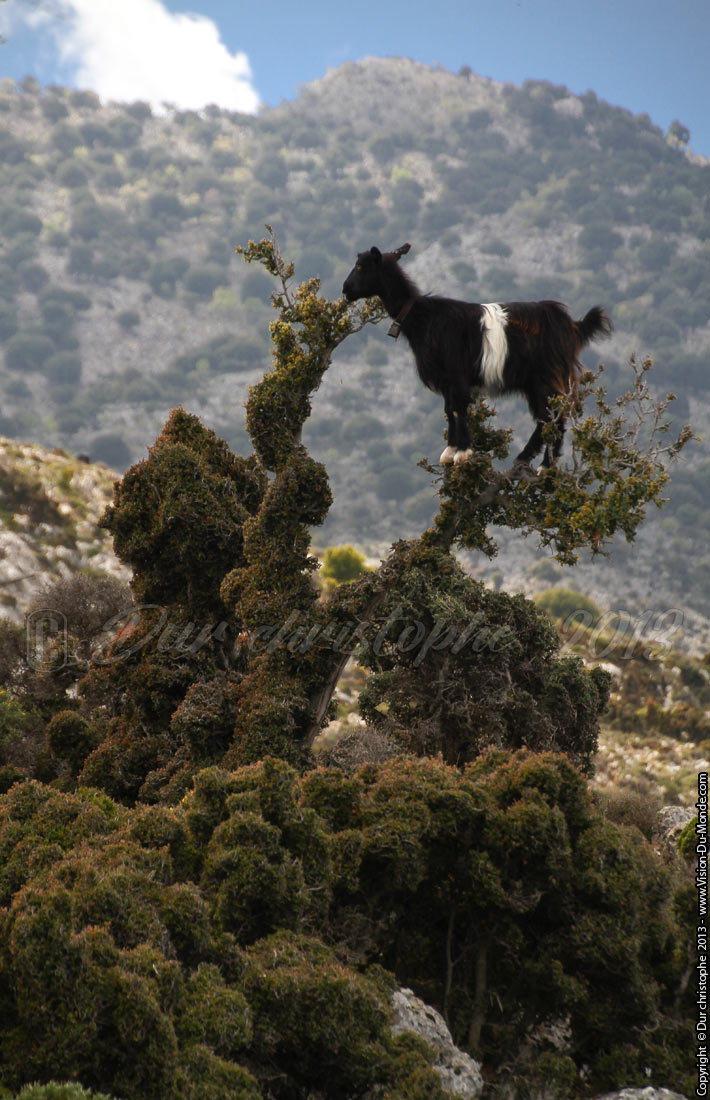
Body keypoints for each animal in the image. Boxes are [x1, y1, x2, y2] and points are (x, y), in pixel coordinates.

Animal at [342, 243, 612, 467]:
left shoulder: (456, 373)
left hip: (546, 377)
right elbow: (449, 410)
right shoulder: (447, 380)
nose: (345, 290)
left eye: (360, 266)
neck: (425, 318)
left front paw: (463, 453)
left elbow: (458, 408)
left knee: (555, 417)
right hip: (535, 382)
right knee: (545, 418)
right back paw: (526, 459)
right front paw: (449, 452)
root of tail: (572, 325)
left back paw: (544, 467)